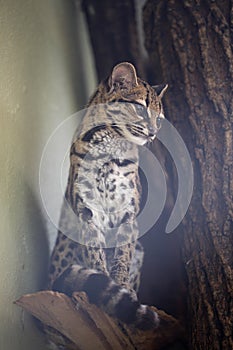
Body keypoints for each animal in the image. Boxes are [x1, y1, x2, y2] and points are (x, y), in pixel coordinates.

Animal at [48, 61, 167, 330]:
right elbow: (94, 250)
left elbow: (123, 255)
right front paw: (102, 282)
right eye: (141, 108)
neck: (110, 145)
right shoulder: (87, 211)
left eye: (160, 118)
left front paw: (120, 287)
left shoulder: (128, 212)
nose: (154, 132)